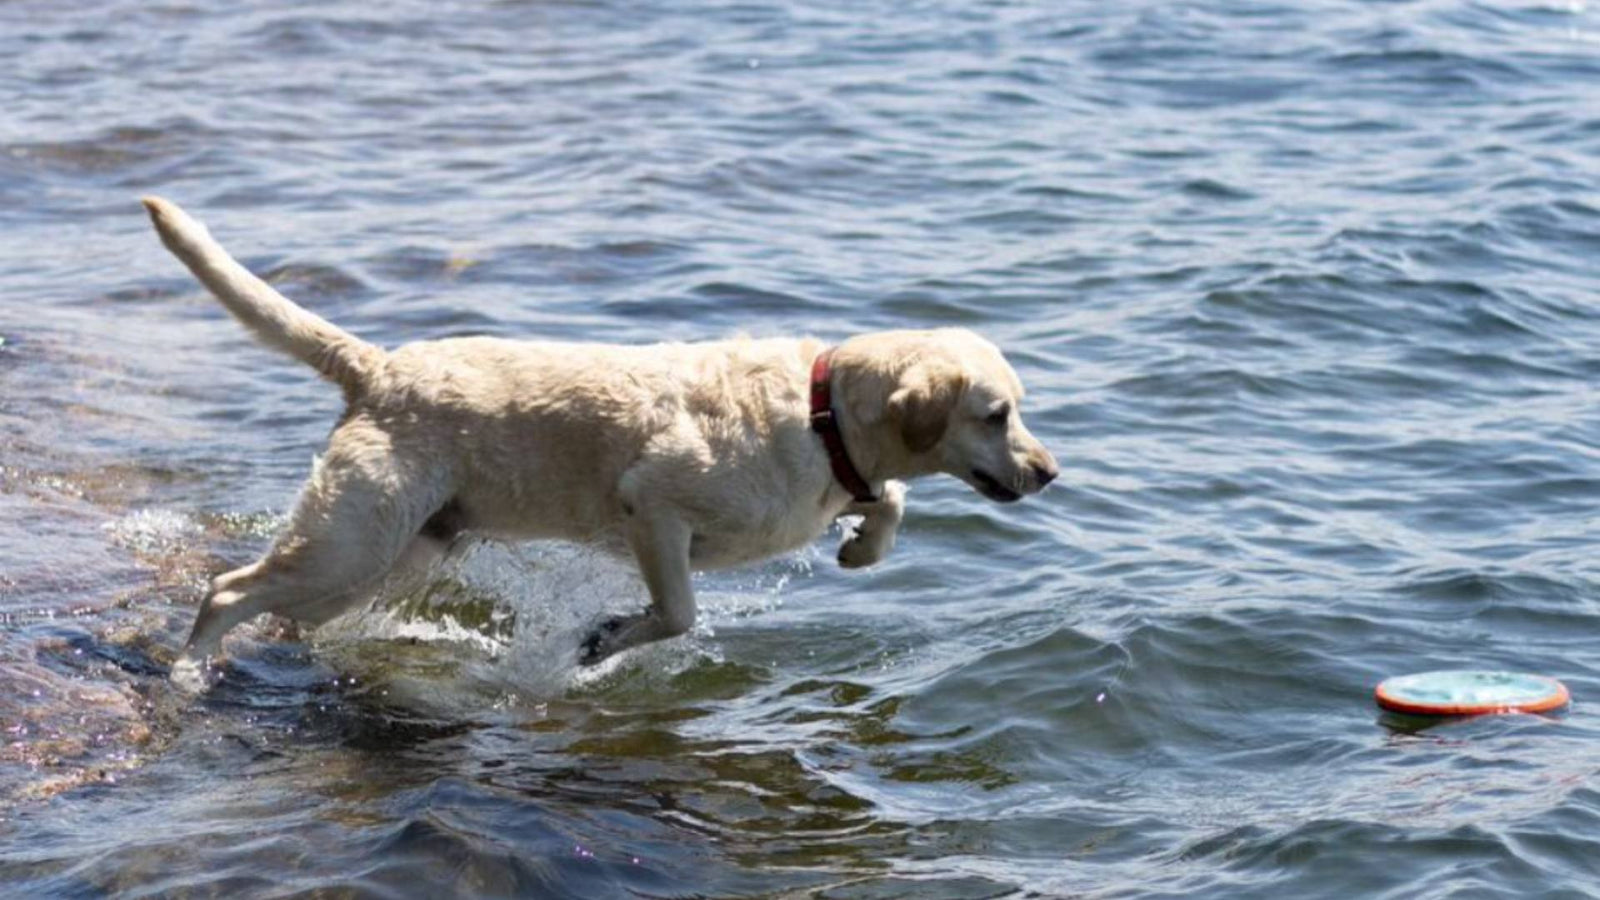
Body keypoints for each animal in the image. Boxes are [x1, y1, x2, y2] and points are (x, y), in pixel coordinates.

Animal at [140, 196, 1062, 682]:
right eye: (996, 415)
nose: (1052, 472)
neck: (821, 412)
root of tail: (377, 366)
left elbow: (891, 499)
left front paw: (863, 547)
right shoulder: (654, 508)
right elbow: (680, 612)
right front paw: (606, 638)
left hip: (397, 551)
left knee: (288, 612)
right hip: (353, 540)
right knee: (226, 589)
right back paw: (188, 674)